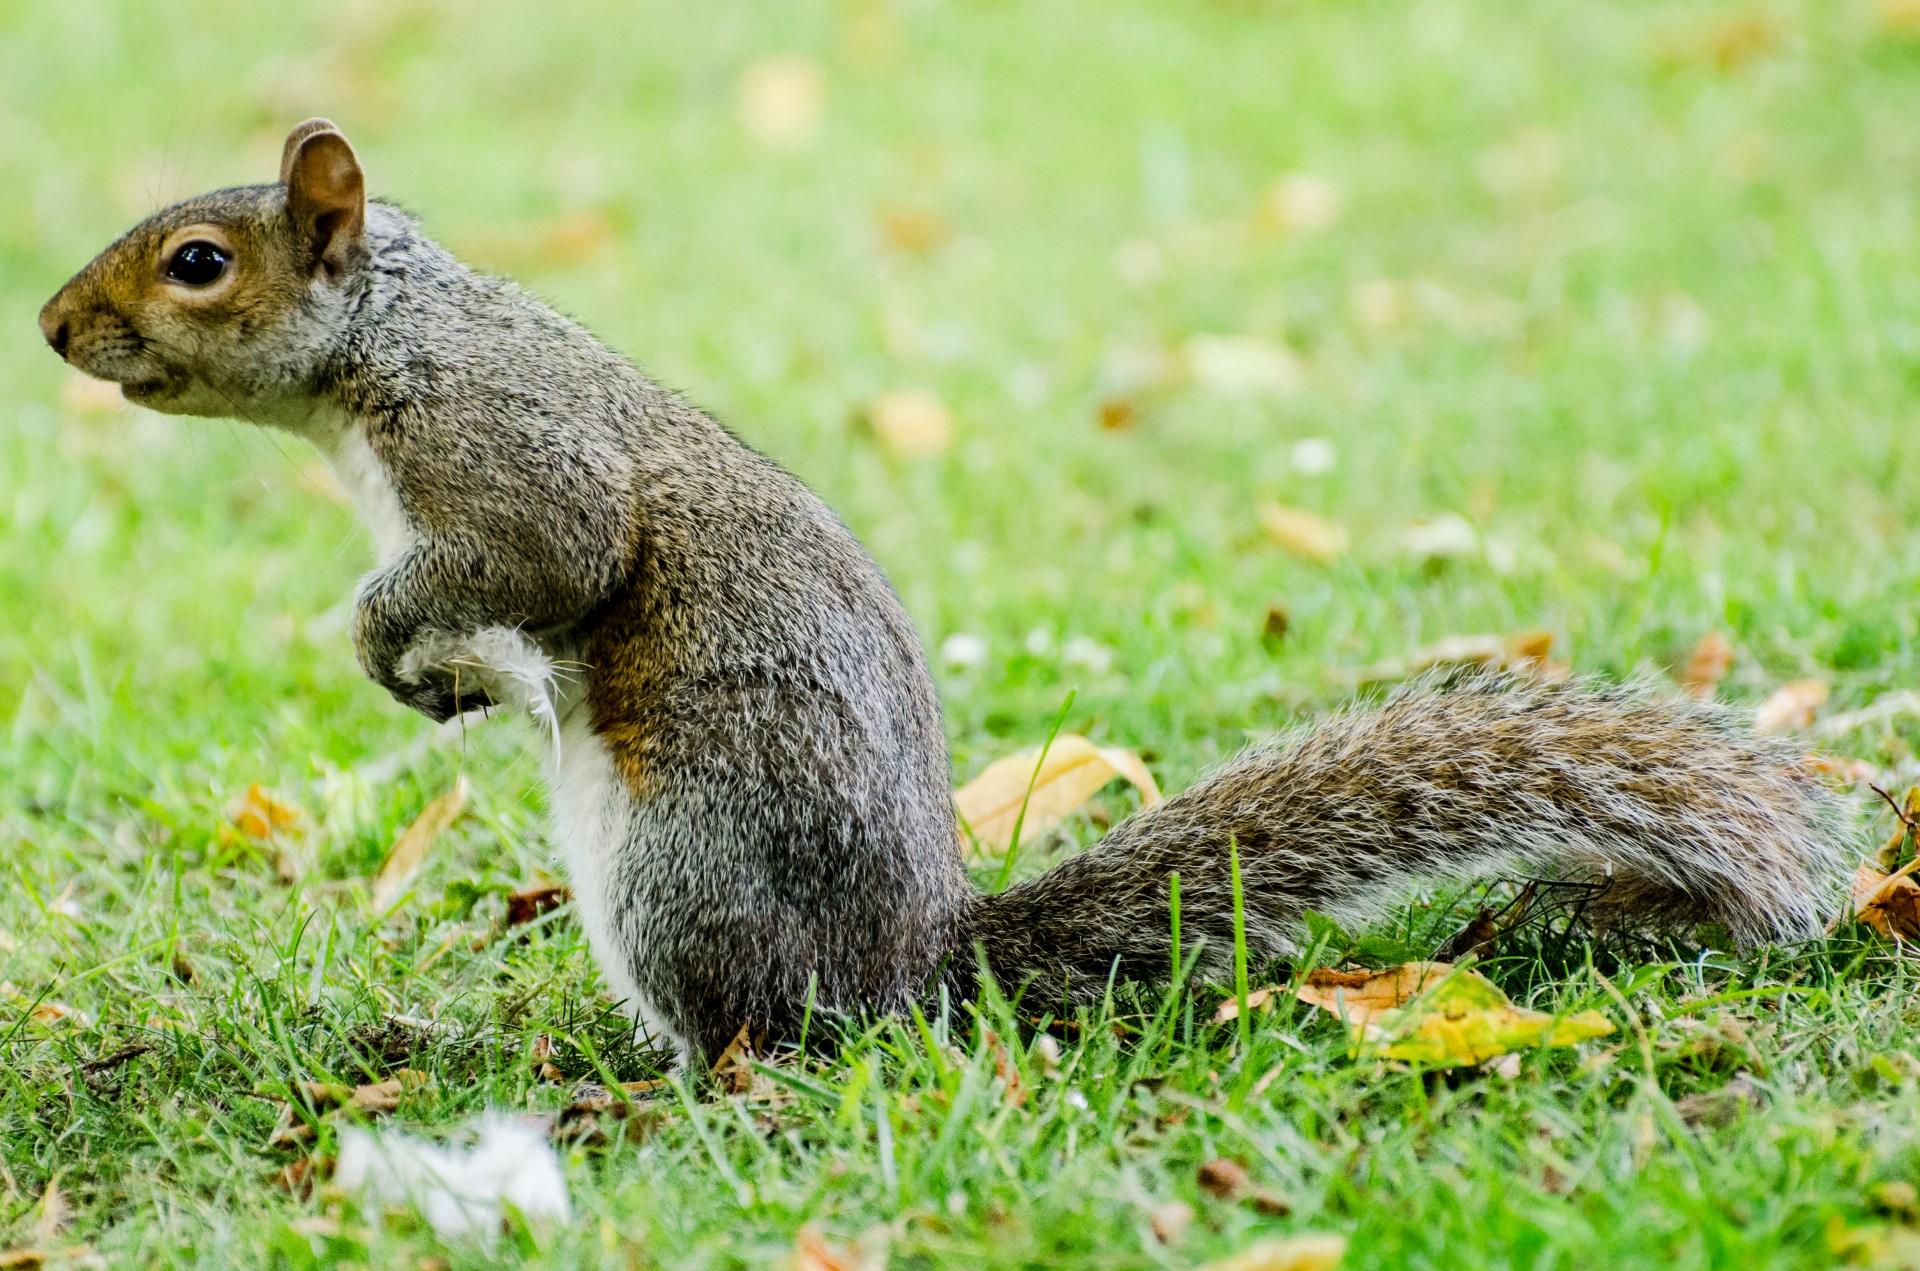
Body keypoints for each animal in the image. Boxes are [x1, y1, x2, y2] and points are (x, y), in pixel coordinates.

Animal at [41, 121, 1843, 1075]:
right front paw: (452, 676)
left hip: (687, 865)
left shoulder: (510, 458)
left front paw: (392, 641)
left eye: (198, 261)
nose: (55, 328)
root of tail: (918, 963)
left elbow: (545, 560)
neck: (383, 351)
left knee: (767, 1033)